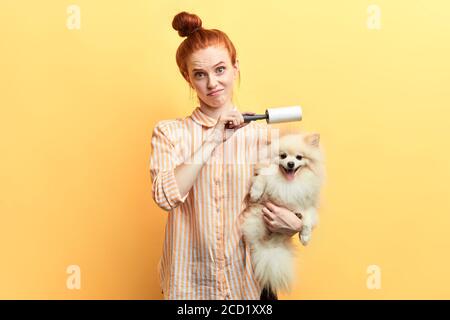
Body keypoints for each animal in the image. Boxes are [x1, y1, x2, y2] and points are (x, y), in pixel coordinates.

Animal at [241, 132, 326, 296]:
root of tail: (272, 244)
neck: (288, 183)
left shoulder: (308, 205)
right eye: (283, 156)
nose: (291, 164)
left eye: (299, 157)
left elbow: (307, 220)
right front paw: (255, 193)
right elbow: (262, 177)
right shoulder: (266, 185)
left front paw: (305, 237)